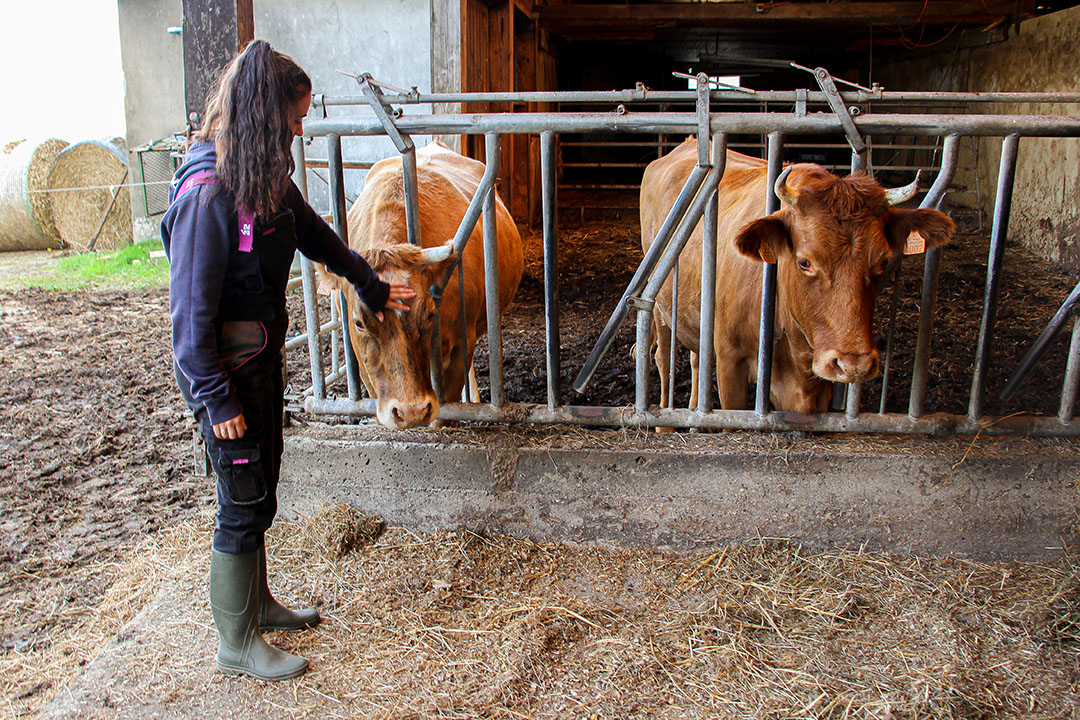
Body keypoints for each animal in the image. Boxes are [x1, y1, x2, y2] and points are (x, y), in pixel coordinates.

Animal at [324, 140, 522, 427]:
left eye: (430, 314)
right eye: (359, 323)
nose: (411, 412)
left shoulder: (462, 341)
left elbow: (447, 402)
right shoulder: (359, 353)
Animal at [639, 138, 954, 414]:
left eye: (884, 261)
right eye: (804, 262)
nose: (853, 365)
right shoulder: (730, 360)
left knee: (695, 358)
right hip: (660, 304)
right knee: (663, 358)